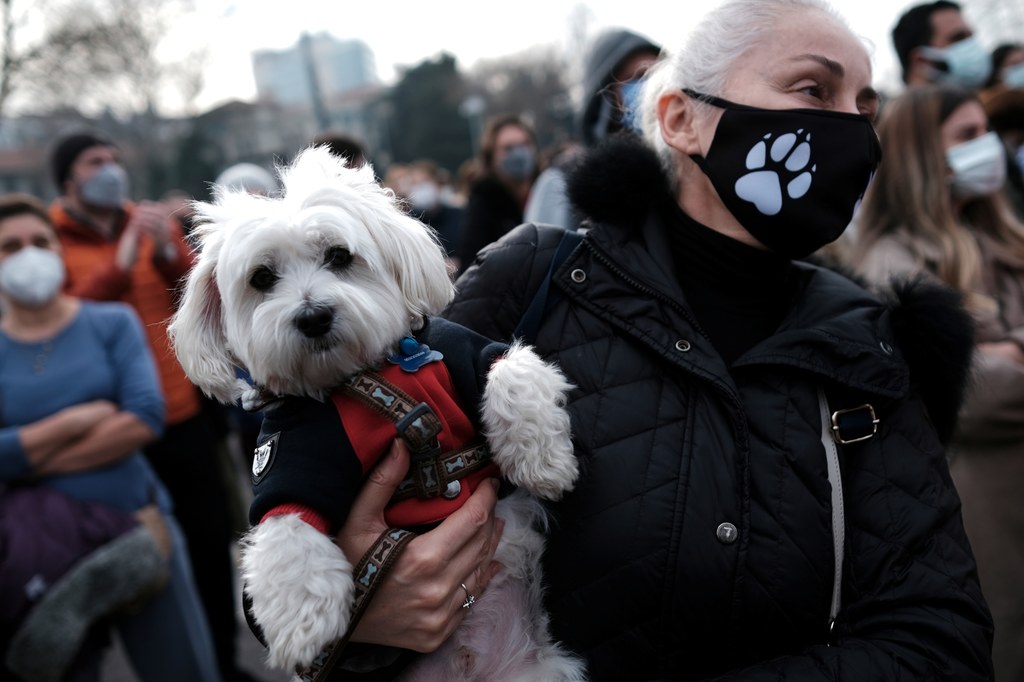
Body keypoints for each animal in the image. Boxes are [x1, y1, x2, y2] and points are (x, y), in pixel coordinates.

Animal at [167, 146, 585, 675]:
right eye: (261, 278)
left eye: (339, 256)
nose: (313, 316)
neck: (369, 372)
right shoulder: (293, 450)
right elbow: (286, 521)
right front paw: (300, 621)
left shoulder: (466, 351)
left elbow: (508, 366)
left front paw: (543, 461)